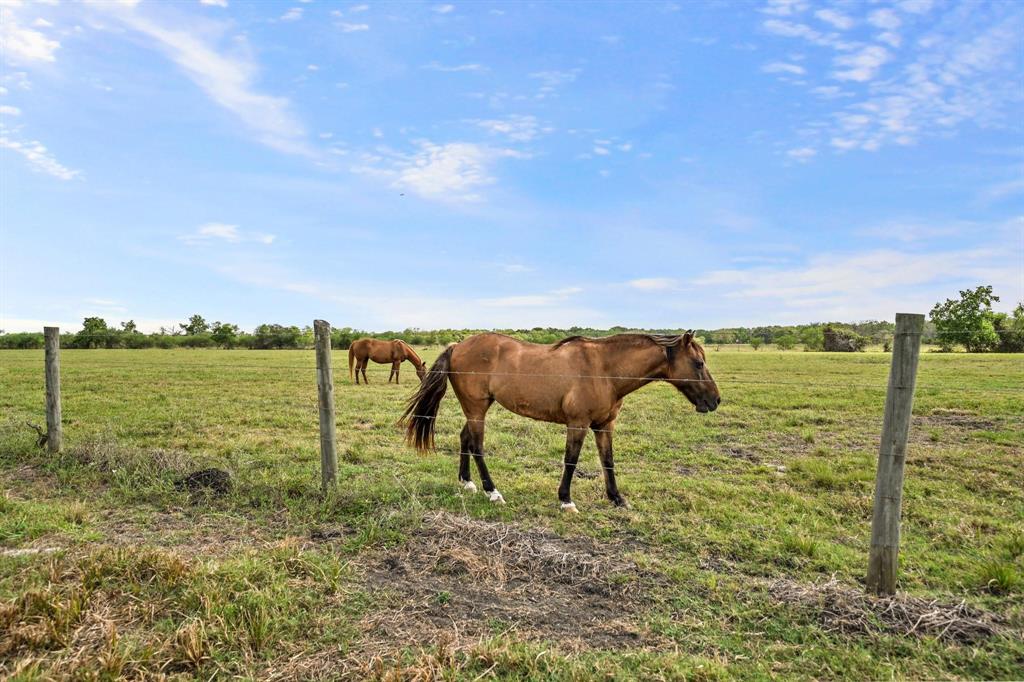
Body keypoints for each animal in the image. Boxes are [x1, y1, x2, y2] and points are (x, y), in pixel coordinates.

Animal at [399, 329, 720, 509]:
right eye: (698, 363)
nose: (715, 400)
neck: (604, 369)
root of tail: (458, 345)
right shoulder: (578, 423)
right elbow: (571, 461)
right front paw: (566, 500)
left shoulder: (605, 426)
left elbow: (608, 461)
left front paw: (617, 498)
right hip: (477, 409)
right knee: (476, 445)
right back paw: (493, 492)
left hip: (477, 408)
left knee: (465, 438)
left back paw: (467, 482)